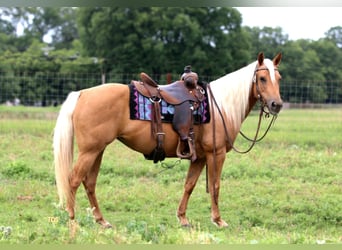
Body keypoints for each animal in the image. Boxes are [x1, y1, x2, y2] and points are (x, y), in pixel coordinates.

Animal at [53, 51, 284, 228]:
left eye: (279, 78)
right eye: (262, 79)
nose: (277, 104)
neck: (220, 107)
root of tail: (82, 94)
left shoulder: (199, 157)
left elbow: (189, 185)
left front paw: (182, 218)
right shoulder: (215, 154)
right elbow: (215, 185)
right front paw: (218, 220)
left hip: (98, 150)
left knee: (89, 182)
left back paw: (101, 221)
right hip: (90, 151)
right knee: (73, 180)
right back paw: (72, 219)